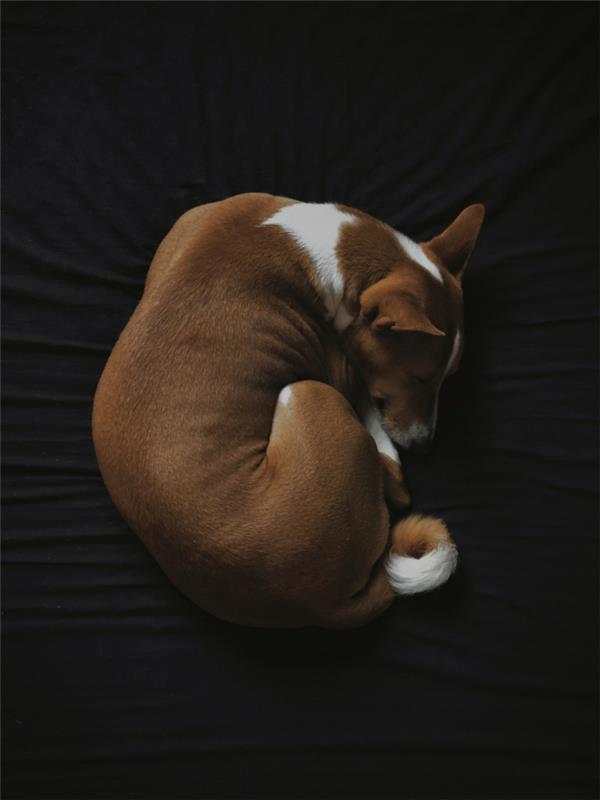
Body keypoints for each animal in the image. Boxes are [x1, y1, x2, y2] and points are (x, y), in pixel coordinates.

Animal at [95, 195, 488, 632]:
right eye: (419, 378)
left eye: (449, 378)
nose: (425, 446)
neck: (326, 244)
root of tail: (325, 605)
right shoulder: (341, 370)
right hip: (306, 391)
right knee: (398, 489)